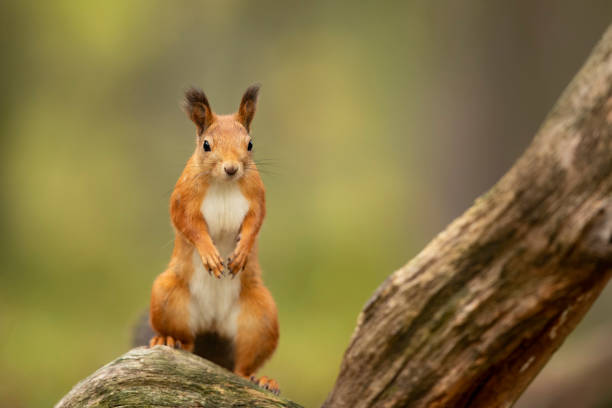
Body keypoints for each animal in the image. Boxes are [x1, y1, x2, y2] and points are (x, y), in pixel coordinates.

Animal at [149, 84, 278, 394]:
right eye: (206, 145)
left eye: (250, 144)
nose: (231, 168)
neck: (224, 184)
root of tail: (213, 323)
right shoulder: (183, 198)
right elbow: (189, 225)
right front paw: (209, 255)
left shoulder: (257, 197)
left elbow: (255, 223)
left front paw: (242, 252)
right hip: (168, 298)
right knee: (186, 341)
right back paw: (167, 340)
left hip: (261, 319)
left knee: (243, 365)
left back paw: (261, 380)